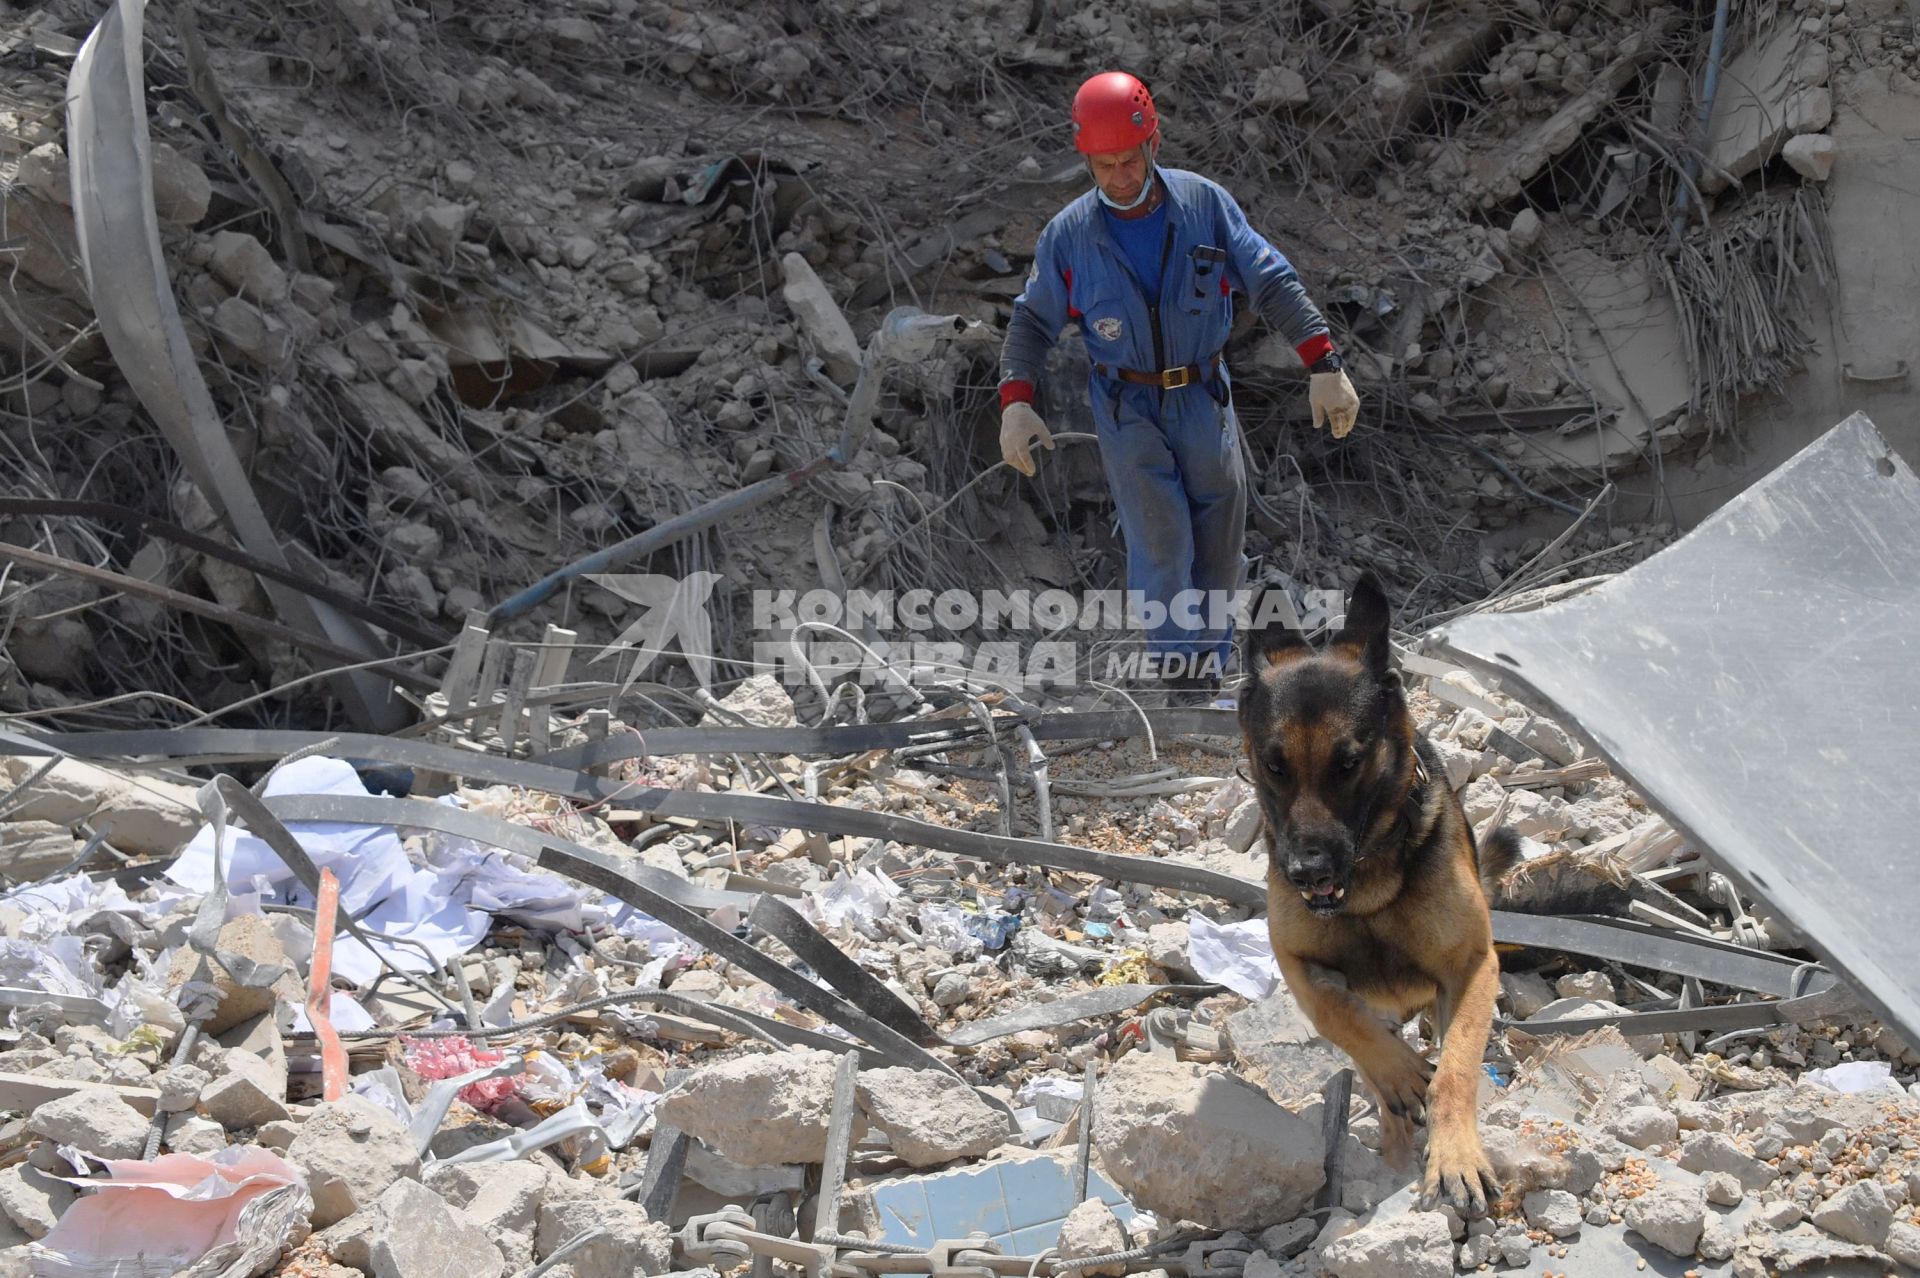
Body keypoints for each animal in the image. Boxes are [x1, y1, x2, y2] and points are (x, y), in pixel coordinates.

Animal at [1236, 568, 1520, 1212]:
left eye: (1349, 763)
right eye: (1274, 765)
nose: (1306, 872)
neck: (1367, 890)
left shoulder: (1473, 966)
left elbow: (1456, 1068)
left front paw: (1456, 1158)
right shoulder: (1294, 961)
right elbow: (1335, 1009)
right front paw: (1398, 1072)